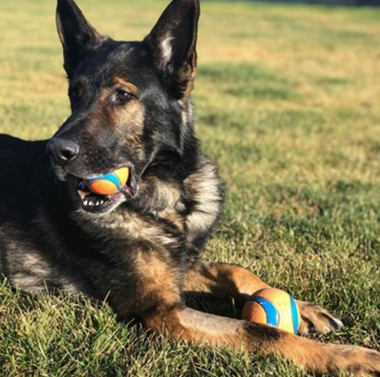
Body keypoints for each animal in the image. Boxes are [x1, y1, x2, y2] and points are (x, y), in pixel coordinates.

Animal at [0, 0, 378, 374]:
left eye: (122, 95)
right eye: (74, 95)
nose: (56, 152)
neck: (169, 201)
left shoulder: (179, 268)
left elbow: (232, 269)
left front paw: (305, 309)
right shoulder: (163, 313)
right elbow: (258, 330)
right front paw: (346, 356)